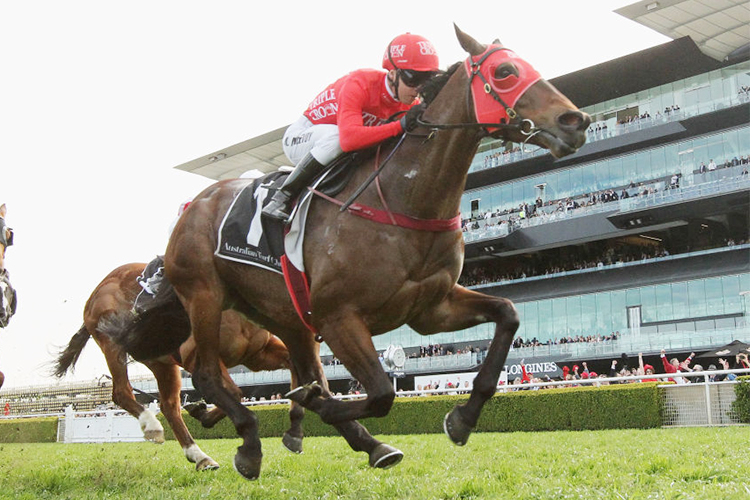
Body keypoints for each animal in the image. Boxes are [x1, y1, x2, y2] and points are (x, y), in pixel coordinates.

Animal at [53, 264, 302, 470]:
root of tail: (98, 289)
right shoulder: (196, 357)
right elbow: (233, 392)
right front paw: (202, 412)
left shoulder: (257, 354)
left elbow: (294, 368)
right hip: (113, 344)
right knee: (122, 393)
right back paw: (152, 426)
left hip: (161, 362)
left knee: (169, 406)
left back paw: (199, 456)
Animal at [108, 25, 592, 478]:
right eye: (505, 72)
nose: (576, 120)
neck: (401, 199)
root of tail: (194, 204)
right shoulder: (339, 315)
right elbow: (380, 392)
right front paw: (318, 407)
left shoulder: (430, 309)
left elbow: (508, 314)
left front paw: (463, 418)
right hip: (204, 295)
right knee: (209, 374)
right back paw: (248, 443)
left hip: (283, 314)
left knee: (296, 369)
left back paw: (366, 443)